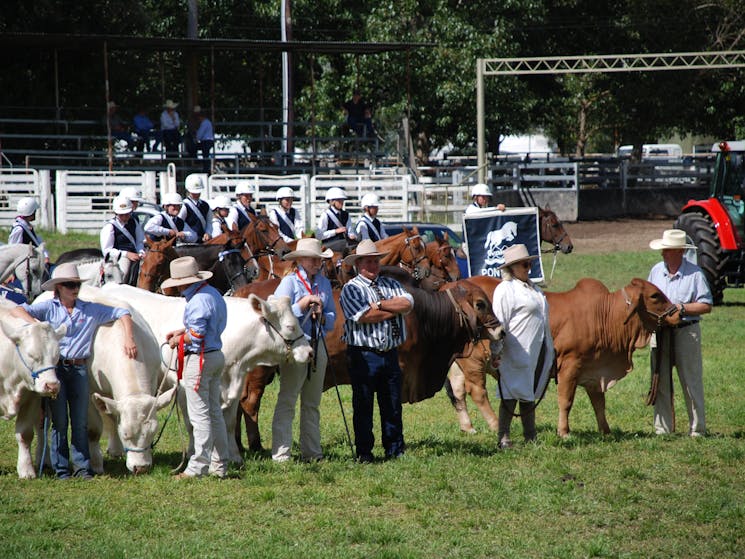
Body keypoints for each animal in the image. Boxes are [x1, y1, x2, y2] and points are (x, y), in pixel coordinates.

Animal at [0, 300, 64, 480]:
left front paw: (26, 469)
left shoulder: (32, 399)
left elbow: (25, 434)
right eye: (31, 355)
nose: (52, 385)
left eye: (57, 356)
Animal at [99, 284, 310, 464]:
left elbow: (229, 422)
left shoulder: (236, 386)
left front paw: (234, 457)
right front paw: (194, 453)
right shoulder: (183, 388)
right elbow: (191, 423)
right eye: (290, 326)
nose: (309, 352)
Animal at [235, 274, 502, 452]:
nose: (500, 330)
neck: (425, 318)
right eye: (480, 304)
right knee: (249, 403)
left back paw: (238, 445)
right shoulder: (400, 372)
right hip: (260, 370)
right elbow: (391, 408)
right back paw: (256, 446)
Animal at [448, 278, 680, 440]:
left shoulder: (593, 371)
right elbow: (566, 400)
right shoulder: (570, 365)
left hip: (459, 363)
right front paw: (564, 431)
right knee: (477, 392)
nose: (678, 313)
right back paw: (495, 424)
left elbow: (599, 403)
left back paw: (468, 427)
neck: (605, 316)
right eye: (655, 296)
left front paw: (606, 431)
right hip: (475, 361)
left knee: (458, 392)